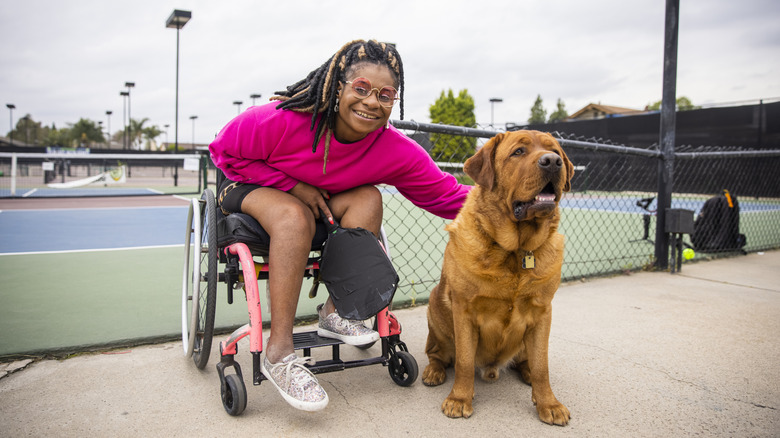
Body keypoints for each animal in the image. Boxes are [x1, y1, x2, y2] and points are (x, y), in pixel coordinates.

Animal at [424, 129, 576, 424]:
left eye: (555, 152)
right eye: (518, 152)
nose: (552, 162)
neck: (516, 250)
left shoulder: (542, 313)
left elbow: (542, 366)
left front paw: (548, 403)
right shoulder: (464, 310)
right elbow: (464, 361)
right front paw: (459, 399)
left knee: (528, 362)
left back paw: (527, 375)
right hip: (435, 310)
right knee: (438, 355)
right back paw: (433, 371)